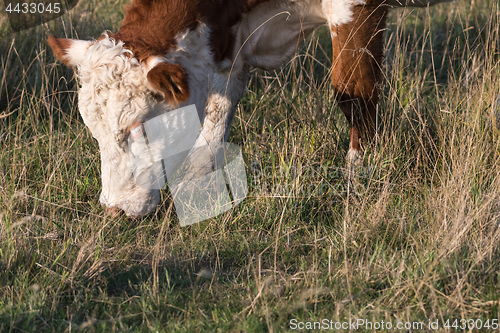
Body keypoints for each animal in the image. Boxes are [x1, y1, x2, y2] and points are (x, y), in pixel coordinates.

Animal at [48, 0, 456, 217]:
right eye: (93, 131)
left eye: (140, 127)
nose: (114, 207)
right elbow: (215, 119)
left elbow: (353, 90)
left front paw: (359, 174)